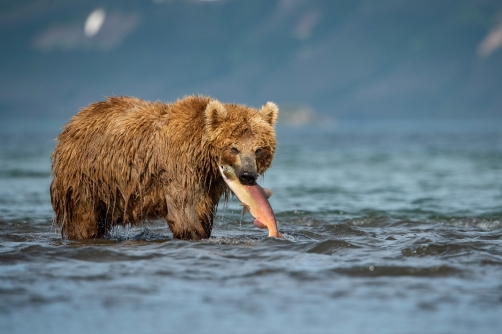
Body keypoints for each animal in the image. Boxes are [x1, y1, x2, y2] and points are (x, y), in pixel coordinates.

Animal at [50, 95, 278, 239]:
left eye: (259, 149)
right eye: (234, 148)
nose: (248, 175)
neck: (203, 158)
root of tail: (74, 120)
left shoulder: (208, 183)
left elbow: (203, 212)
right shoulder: (179, 167)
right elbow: (185, 213)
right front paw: (192, 232)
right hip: (86, 177)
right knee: (83, 218)